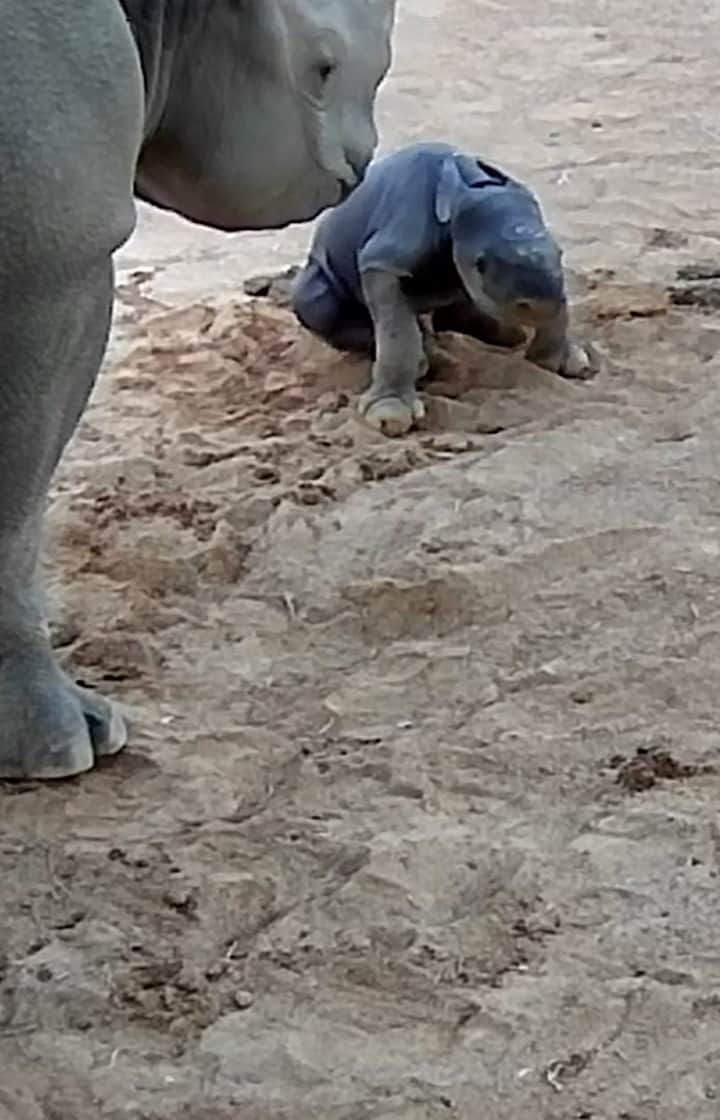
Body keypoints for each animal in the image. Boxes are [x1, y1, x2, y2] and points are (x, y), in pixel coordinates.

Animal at [291, 138, 595, 432]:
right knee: (319, 303)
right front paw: (390, 413)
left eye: (562, 254)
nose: (537, 306)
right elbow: (397, 330)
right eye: (481, 264)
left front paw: (559, 361)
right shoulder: (383, 260)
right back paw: (426, 355)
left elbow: (560, 298)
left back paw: (504, 334)